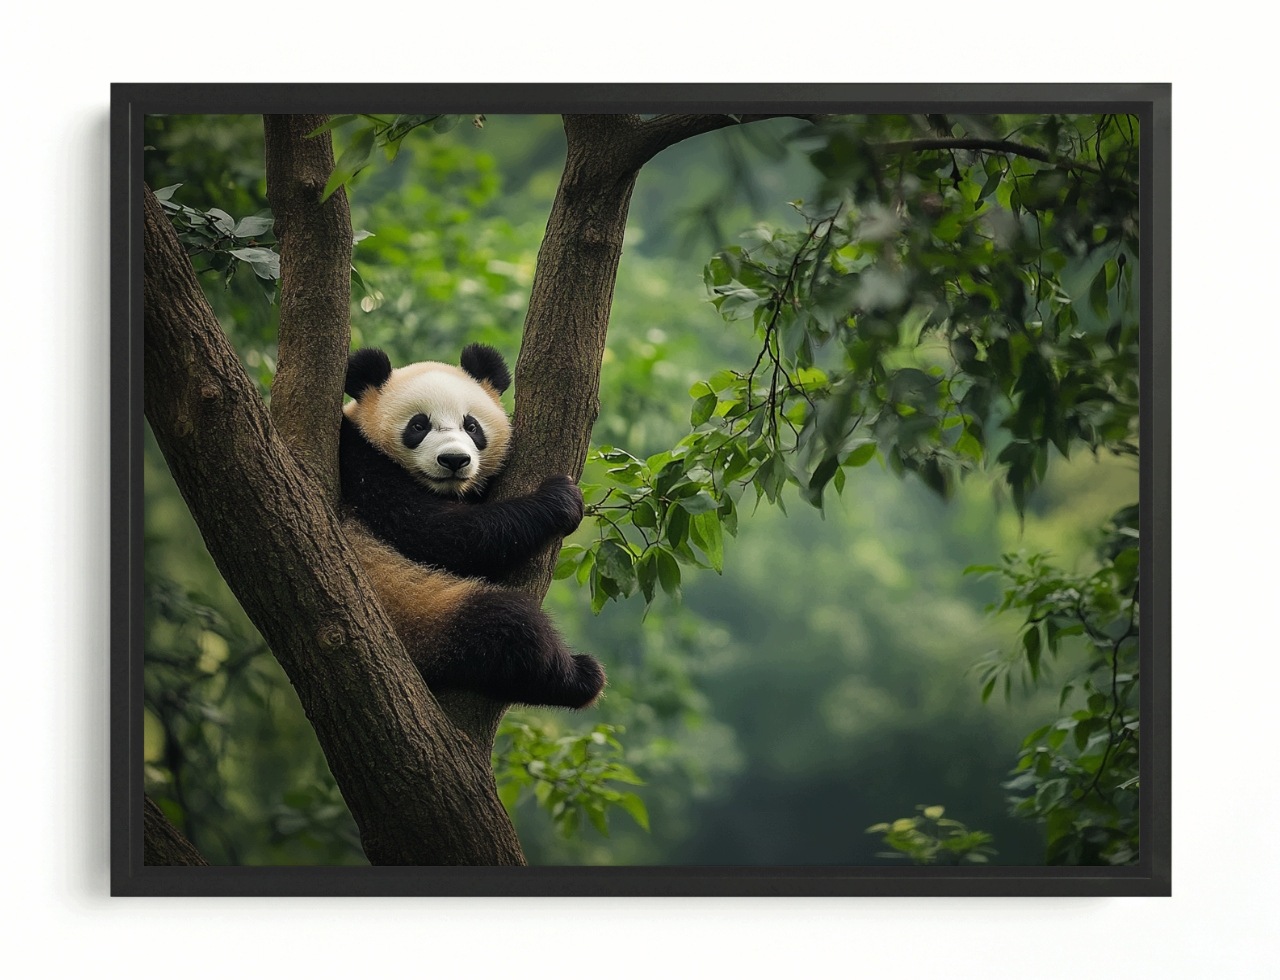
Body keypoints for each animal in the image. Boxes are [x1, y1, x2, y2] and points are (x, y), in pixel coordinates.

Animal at [338, 343, 606, 709]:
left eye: (471, 426)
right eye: (418, 425)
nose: (454, 460)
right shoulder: (360, 468)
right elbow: (445, 535)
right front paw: (559, 499)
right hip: (422, 616)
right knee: (508, 627)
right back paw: (581, 677)